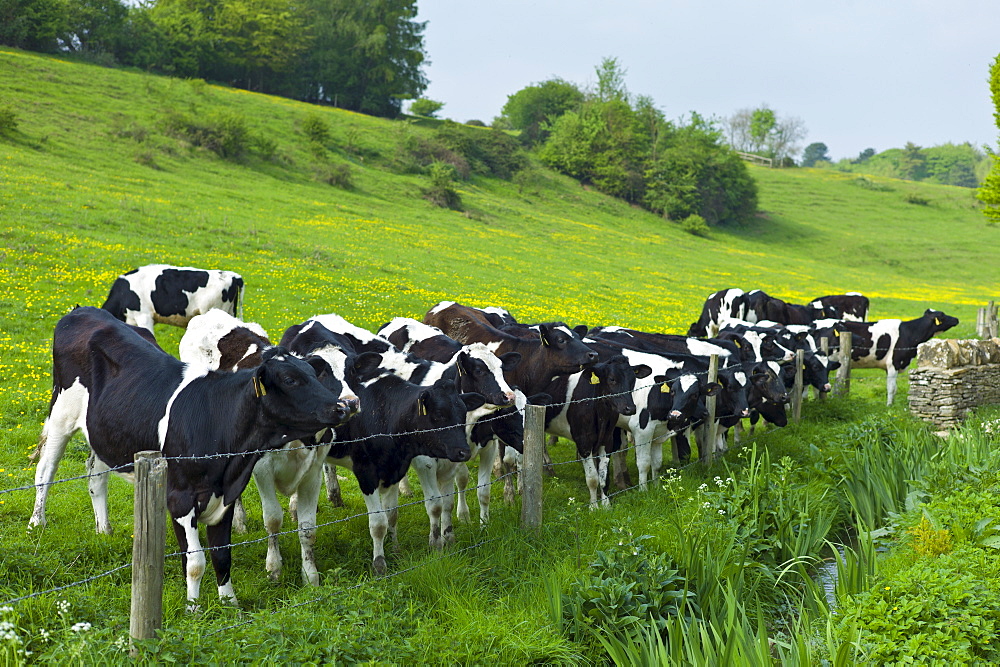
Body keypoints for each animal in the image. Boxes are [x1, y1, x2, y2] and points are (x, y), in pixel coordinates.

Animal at [31, 306, 354, 608]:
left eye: (313, 374)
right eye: (289, 379)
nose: (342, 407)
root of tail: (84, 310)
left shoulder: (226, 495)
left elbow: (221, 555)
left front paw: (229, 604)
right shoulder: (180, 499)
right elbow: (196, 560)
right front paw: (194, 609)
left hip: (104, 429)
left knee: (96, 475)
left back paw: (104, 530)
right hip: (61, 413)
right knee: (45, 470)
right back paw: (37, 523)